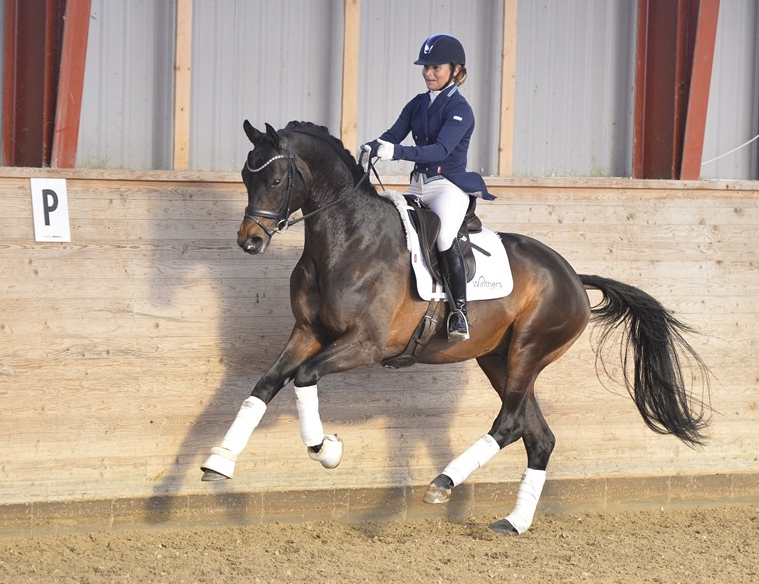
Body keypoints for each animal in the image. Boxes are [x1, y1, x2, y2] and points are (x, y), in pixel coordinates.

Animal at [199, 121, 708, 536]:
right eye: (245, 176)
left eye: (275, 179)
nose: (249, 241)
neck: (346, 240)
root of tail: (571, 275)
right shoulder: (307, 333)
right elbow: (265, 385)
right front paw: (218, 462)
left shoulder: (364, 344)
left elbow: (304, 378)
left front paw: (326, 449)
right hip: (498, 359)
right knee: (537, 435)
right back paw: (513, 522)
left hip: (528, 351)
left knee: (509, 424)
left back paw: (443, 482)